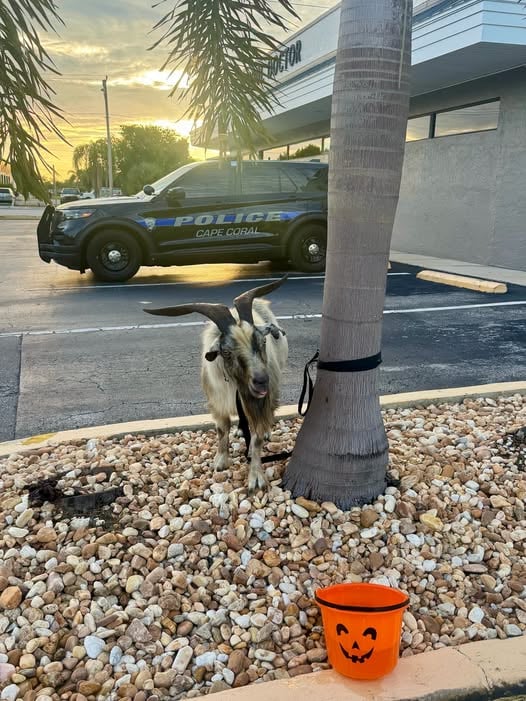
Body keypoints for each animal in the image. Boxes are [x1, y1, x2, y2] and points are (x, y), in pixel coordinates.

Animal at [145, 276, 288, 492]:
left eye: (263, 342)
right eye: (226, 352)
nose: (262, 382)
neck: (236, 385)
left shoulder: (261, 401)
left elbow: (256, 438)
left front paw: (256, 478)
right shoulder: (217, 402)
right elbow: (222, 431)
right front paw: (220, 463)